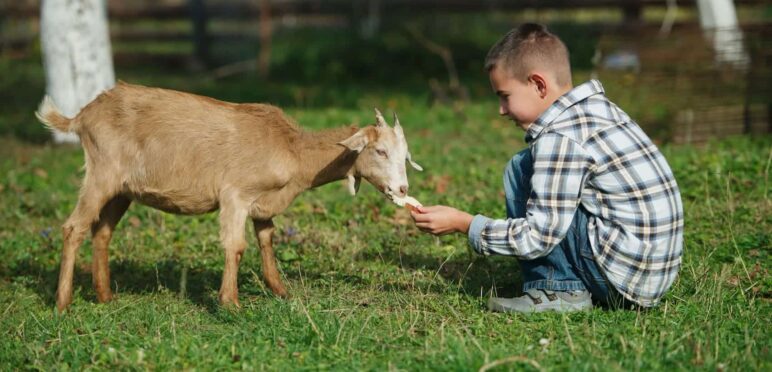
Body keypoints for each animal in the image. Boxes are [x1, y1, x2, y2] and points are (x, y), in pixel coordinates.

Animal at [36, 82, 422, 310]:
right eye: (380, 152)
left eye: (404, 156)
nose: (403, 190)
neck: (292, 149)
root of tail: (82, 116)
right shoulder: (236, 194)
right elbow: (235, 247)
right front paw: (230, 303)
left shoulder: (264, 203)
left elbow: (267, 239)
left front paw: (281, 291)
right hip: (102, 174)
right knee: (73, 228)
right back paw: (63, 303)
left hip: (122, 189)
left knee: (102, 231)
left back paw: (105, 296)